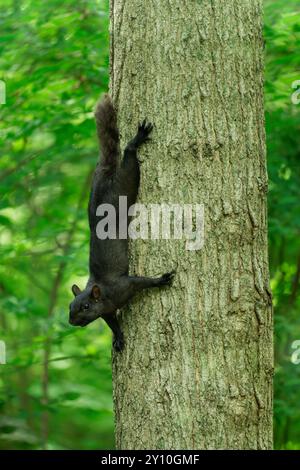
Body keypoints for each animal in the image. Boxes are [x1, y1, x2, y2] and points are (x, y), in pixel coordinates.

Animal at [69, 95, 175, 350]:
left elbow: (141, 281)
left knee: (128, 155)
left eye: (85, 306)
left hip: (127, 181)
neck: (104, 295)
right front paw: (118, 337)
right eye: (70, 306)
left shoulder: (124, 287)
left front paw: (160, 280)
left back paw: (137, 140)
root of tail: (107, 172)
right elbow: (111, 323)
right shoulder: (107, 311)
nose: (72, 321)